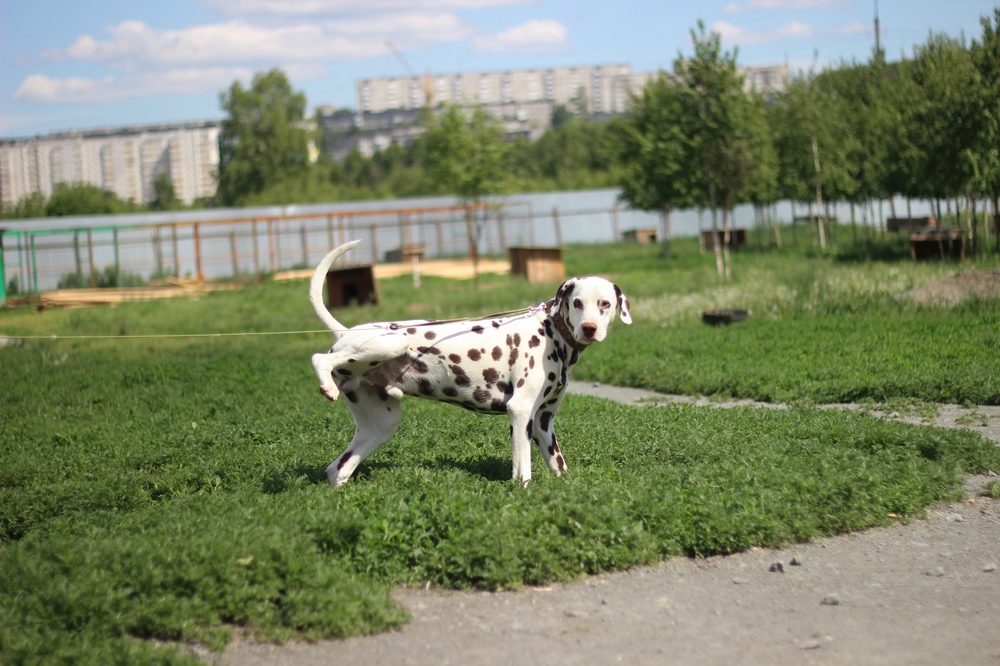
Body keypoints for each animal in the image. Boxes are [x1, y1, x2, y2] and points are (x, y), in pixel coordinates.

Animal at [310, 240, 631, 486]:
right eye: (577, 303)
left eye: (605, 304)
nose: (589, 328)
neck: (551, 332)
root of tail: (345, 331)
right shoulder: (520, 412)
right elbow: (522, 471)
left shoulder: (542, 421)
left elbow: (558, 464)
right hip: (390, 344)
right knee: (319, 358)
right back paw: (326, 384)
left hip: (380, 425)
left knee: (337, 469)